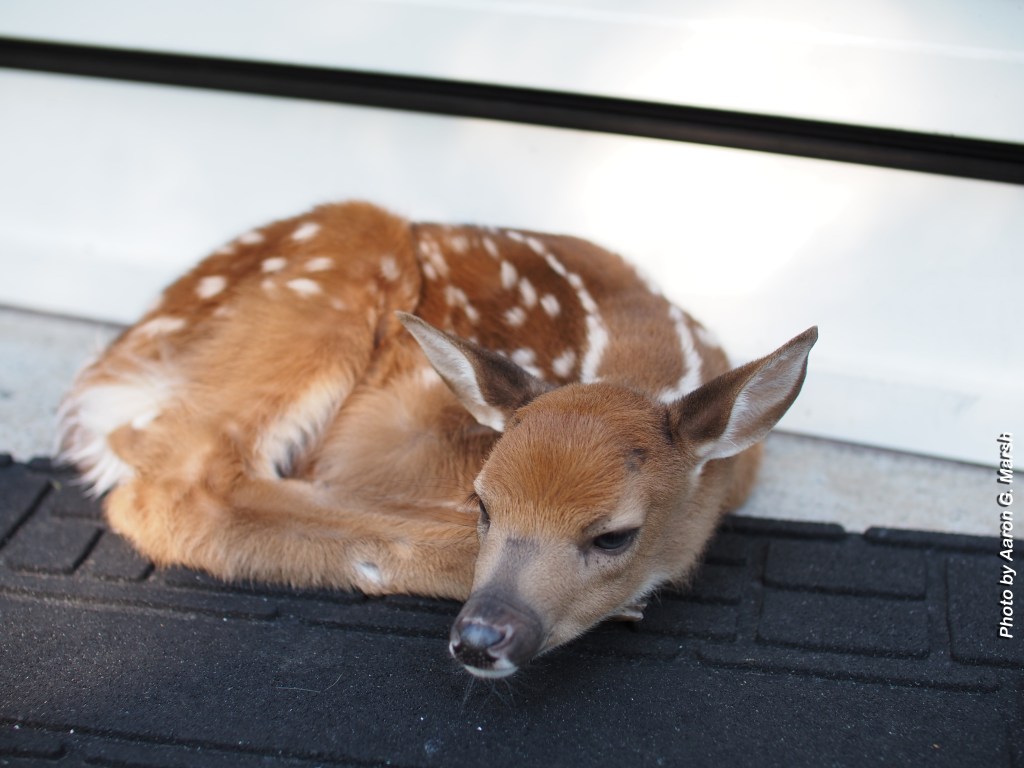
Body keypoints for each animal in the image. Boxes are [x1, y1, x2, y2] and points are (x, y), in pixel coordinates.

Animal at [58, 201, 817, 679]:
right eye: (484, 504)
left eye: (614, 536)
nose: (484, 636)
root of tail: (117, 363)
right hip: (333, 267)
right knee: (176, 481)